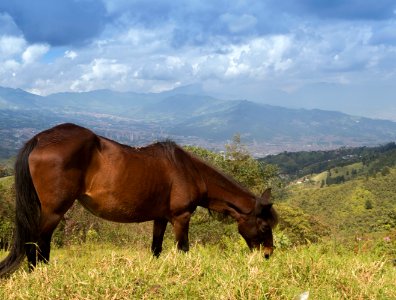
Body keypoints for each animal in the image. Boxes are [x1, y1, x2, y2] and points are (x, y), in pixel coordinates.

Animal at [0, 122, 278, 276]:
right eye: (264, 227)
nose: (268, 255)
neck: (189, 171)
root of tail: (40, 139)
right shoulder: (181, 218)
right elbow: (183, 250)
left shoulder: (160, 218)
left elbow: (156, 249)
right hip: (54, 211)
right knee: (37, 243)